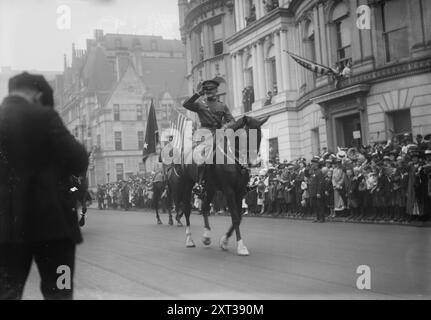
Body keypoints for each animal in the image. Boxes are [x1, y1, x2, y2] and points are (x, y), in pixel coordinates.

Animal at [174, 114, 268, 255]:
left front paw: (224, 241)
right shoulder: (229, 191)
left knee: (205, 208)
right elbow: (235, 217)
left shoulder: (239, 191)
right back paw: (189, 239)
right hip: (187, 186)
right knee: (187, 210)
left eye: (260, 136)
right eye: (246, 135)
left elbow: (239, 217)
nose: (256, 163)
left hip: (211, 188)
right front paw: (241, 246)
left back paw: (206, 236)